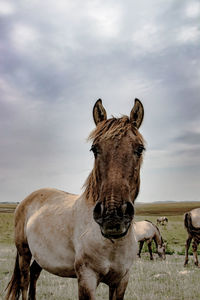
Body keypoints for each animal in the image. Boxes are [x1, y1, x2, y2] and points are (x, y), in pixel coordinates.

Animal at [5, 98, 145, 300]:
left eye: (139, 149)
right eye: (94, 149)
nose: (113, 216)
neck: (112, 243)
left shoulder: (121, 281)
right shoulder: (86, 278)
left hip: (40, 257)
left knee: (34, 275)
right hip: (24, 252)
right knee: (24, 282)